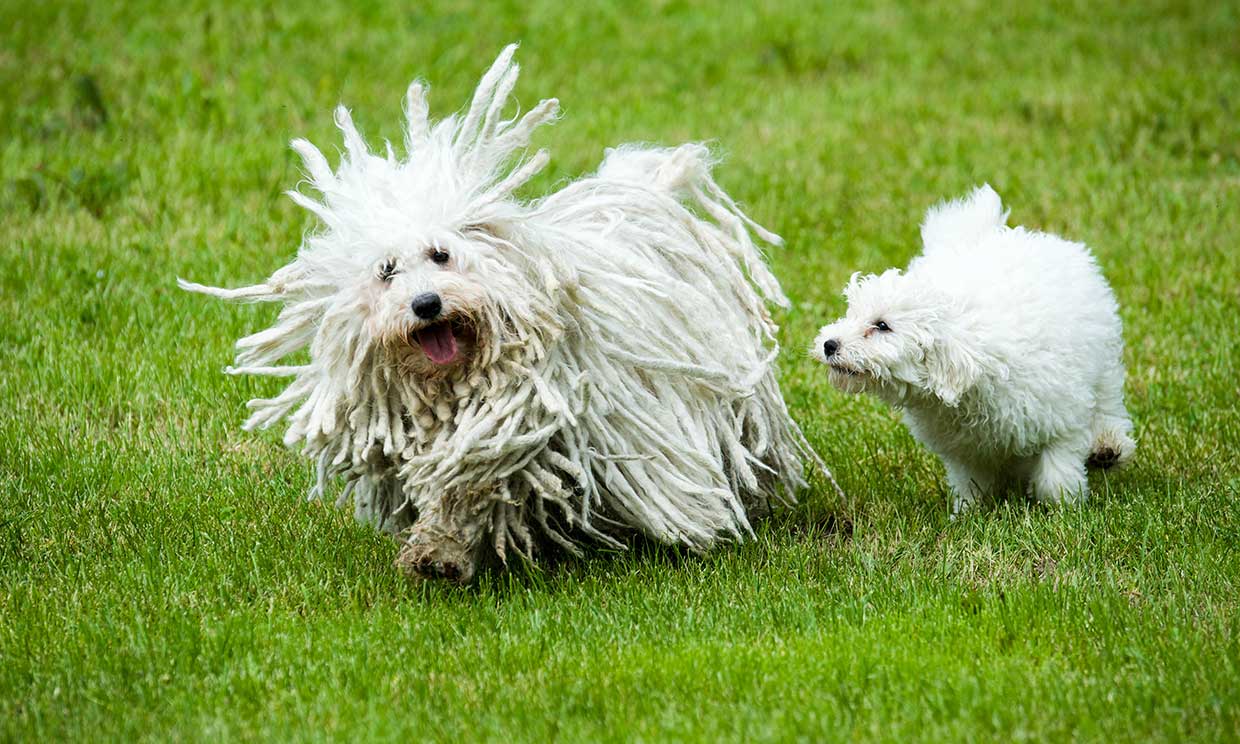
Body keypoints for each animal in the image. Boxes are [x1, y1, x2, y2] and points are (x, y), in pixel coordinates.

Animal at [179, 46, 833, 585]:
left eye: (441, 255)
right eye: (386, 271)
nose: (426, 304)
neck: (452, 385)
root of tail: (640, 193)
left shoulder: (514, 418)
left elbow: (472, 478)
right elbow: (455, 495)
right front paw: (438, 553)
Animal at [813, 184, 1135, 518]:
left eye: (882, 325)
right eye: (852, 314)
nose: (829, 344)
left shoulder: (1060, 416)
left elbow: (1055, 472)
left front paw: (1063, 507)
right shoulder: (965, 448)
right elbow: (970, 481)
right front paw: (967, 513)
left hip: (1104, 360)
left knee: (1108, 403)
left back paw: (1108, 447)